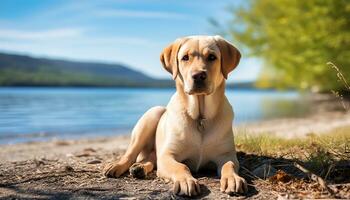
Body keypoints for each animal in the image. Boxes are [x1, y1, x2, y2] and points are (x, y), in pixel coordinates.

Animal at [102, 35, 247, 196]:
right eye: (185, 58)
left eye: (212, 57)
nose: (198, 75)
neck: (200, 117)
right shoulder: (168, 155)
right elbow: (181, 166)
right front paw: (186, 181)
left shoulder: (226, 155)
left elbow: (229, 165)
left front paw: (233, 178)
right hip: (152, 115)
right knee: (131, 154)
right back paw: (117, 166)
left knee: (152, 157)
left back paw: (139, 168)